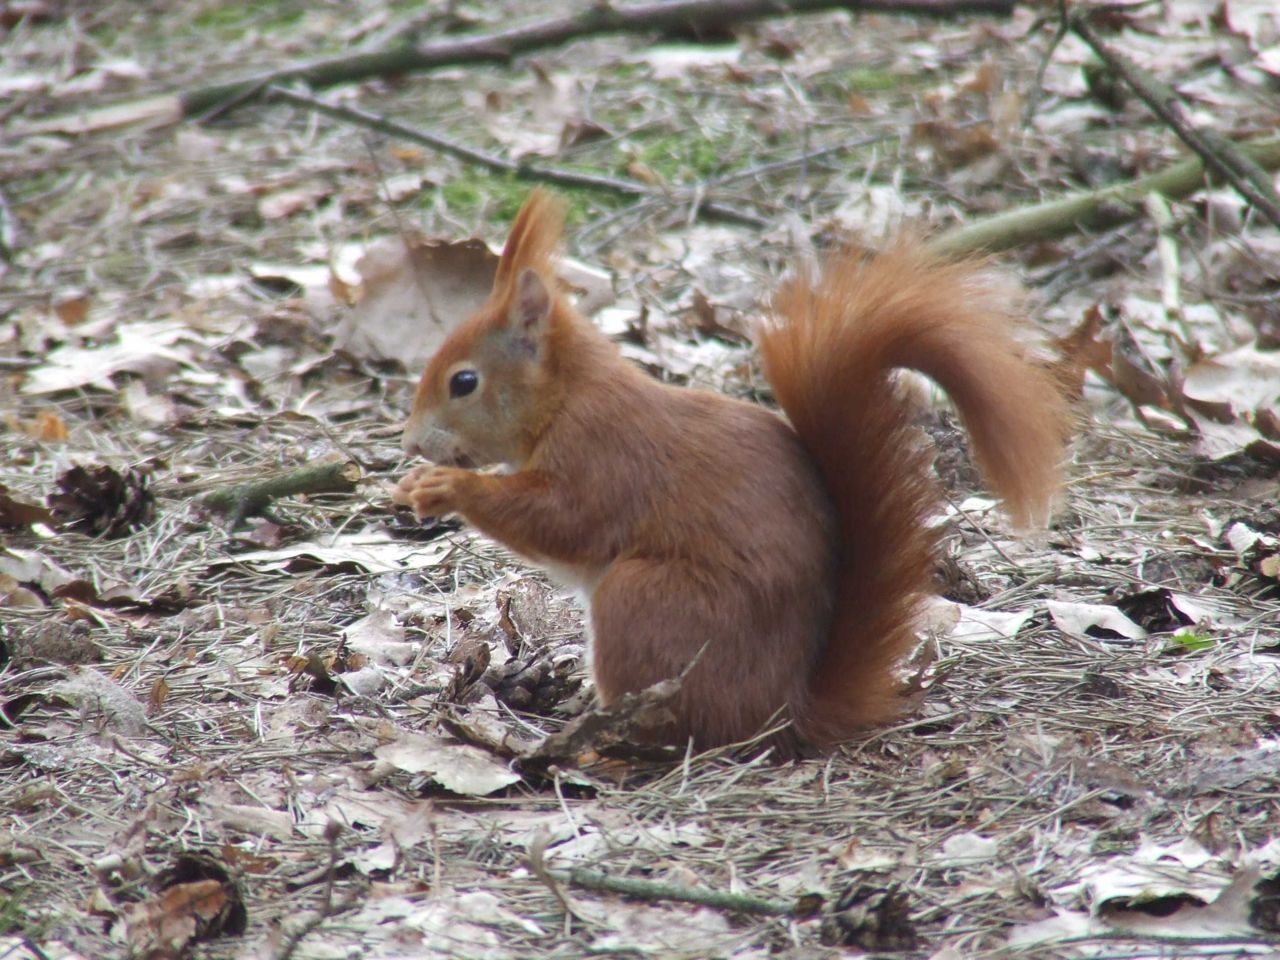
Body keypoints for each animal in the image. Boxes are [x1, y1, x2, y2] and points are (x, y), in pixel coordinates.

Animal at [391, 192, 1070, 757]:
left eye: (464, 381)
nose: (411, 443)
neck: (567, 396)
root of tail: (782, 714)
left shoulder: (604, 455)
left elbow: (564, 522)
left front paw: (447, 488)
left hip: (645, 603)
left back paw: (603, 737)